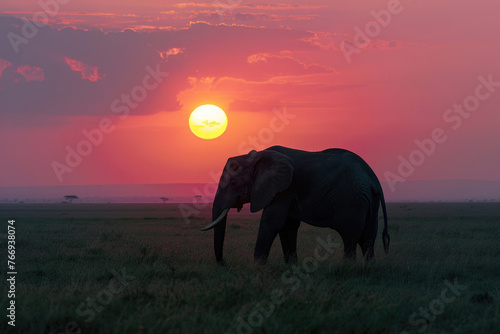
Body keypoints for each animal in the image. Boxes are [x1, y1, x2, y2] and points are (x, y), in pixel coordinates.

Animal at [201, 146, 388, 266]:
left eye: (234, 183)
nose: (224, 263)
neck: (256, 157)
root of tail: (372, 177)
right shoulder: (286, 192)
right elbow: (287, 227)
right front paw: (291, 266)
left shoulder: (283, 190)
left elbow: (271, 223)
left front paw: (258, 267)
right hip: (369, 200)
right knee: (368, 238)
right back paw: (368, 268)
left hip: (351, 200)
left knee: (350, 237)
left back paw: (348, 268)